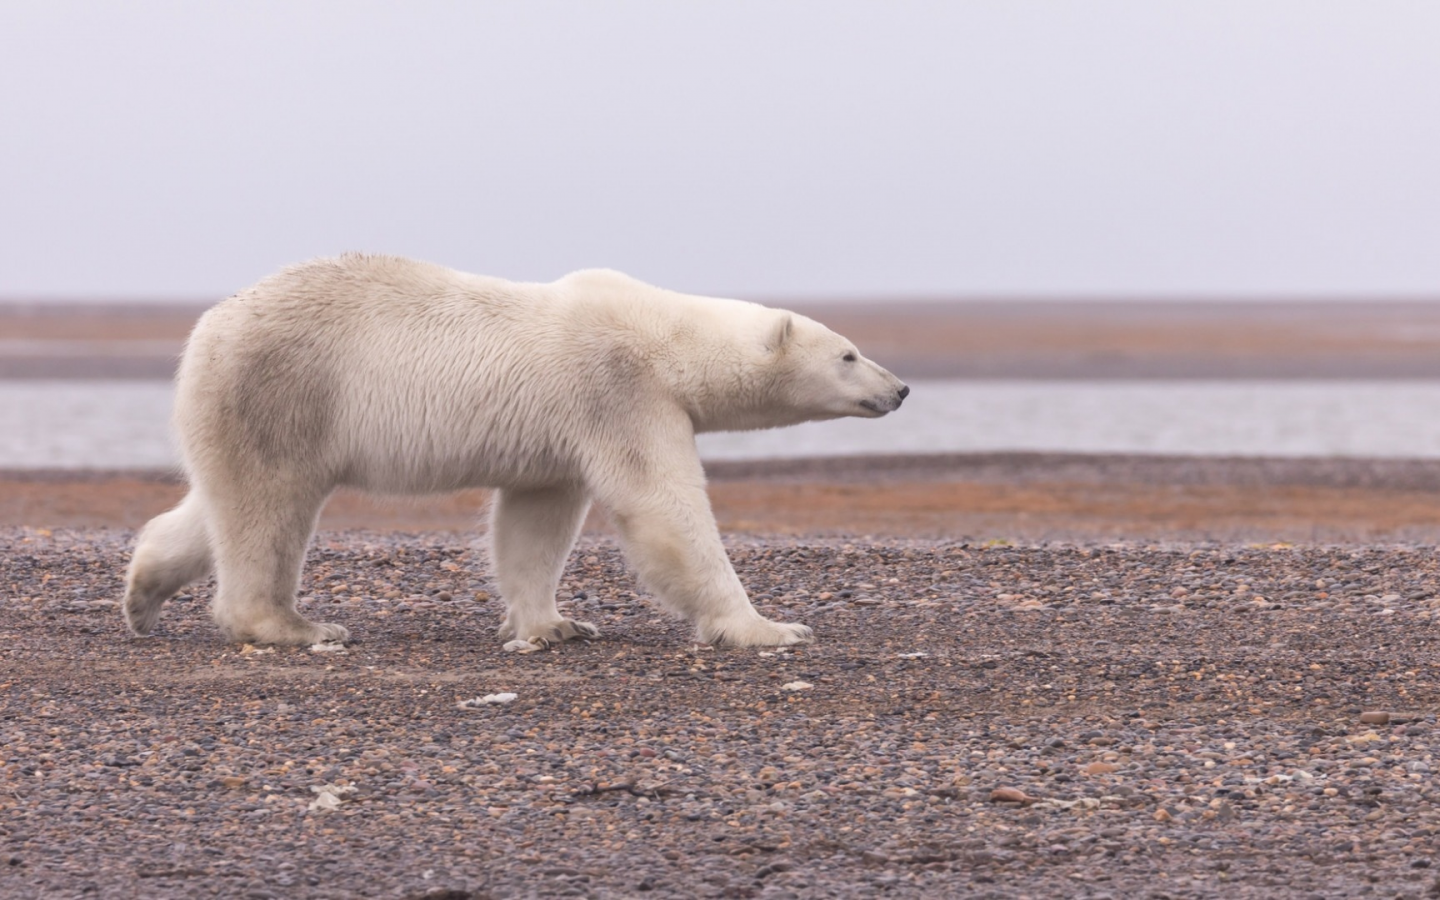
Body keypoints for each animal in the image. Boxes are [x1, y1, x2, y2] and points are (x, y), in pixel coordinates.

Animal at [123, 253, 910, 645]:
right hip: (288, 389)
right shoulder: (618, 391)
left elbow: (534, 524)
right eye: (848, 353)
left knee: (222, 502)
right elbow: (664, 508)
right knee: (268, 507)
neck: (663, 335)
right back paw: (292, 625)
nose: (900, 389)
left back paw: (143, 591)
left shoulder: (561, 433)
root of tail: (208, 327)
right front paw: (770, 627)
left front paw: (557, 626)